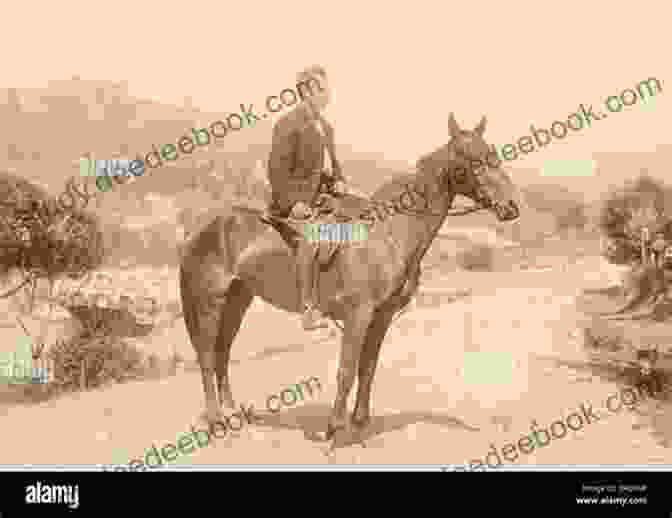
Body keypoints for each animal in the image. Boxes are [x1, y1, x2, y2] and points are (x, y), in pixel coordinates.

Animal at [177, 114, 520, 446]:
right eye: (473, 159)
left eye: (492, 155)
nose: (512, 207)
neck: (389, 234)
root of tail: (203, 227)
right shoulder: (358, 314)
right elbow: (346, 369)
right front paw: (334, 430)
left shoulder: (381, 316)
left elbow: (367, 368)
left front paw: (358, 423)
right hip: (210, 303)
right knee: (206, 355)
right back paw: (216, 420)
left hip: (237, 300)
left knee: (222, 353)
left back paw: (232, 413)